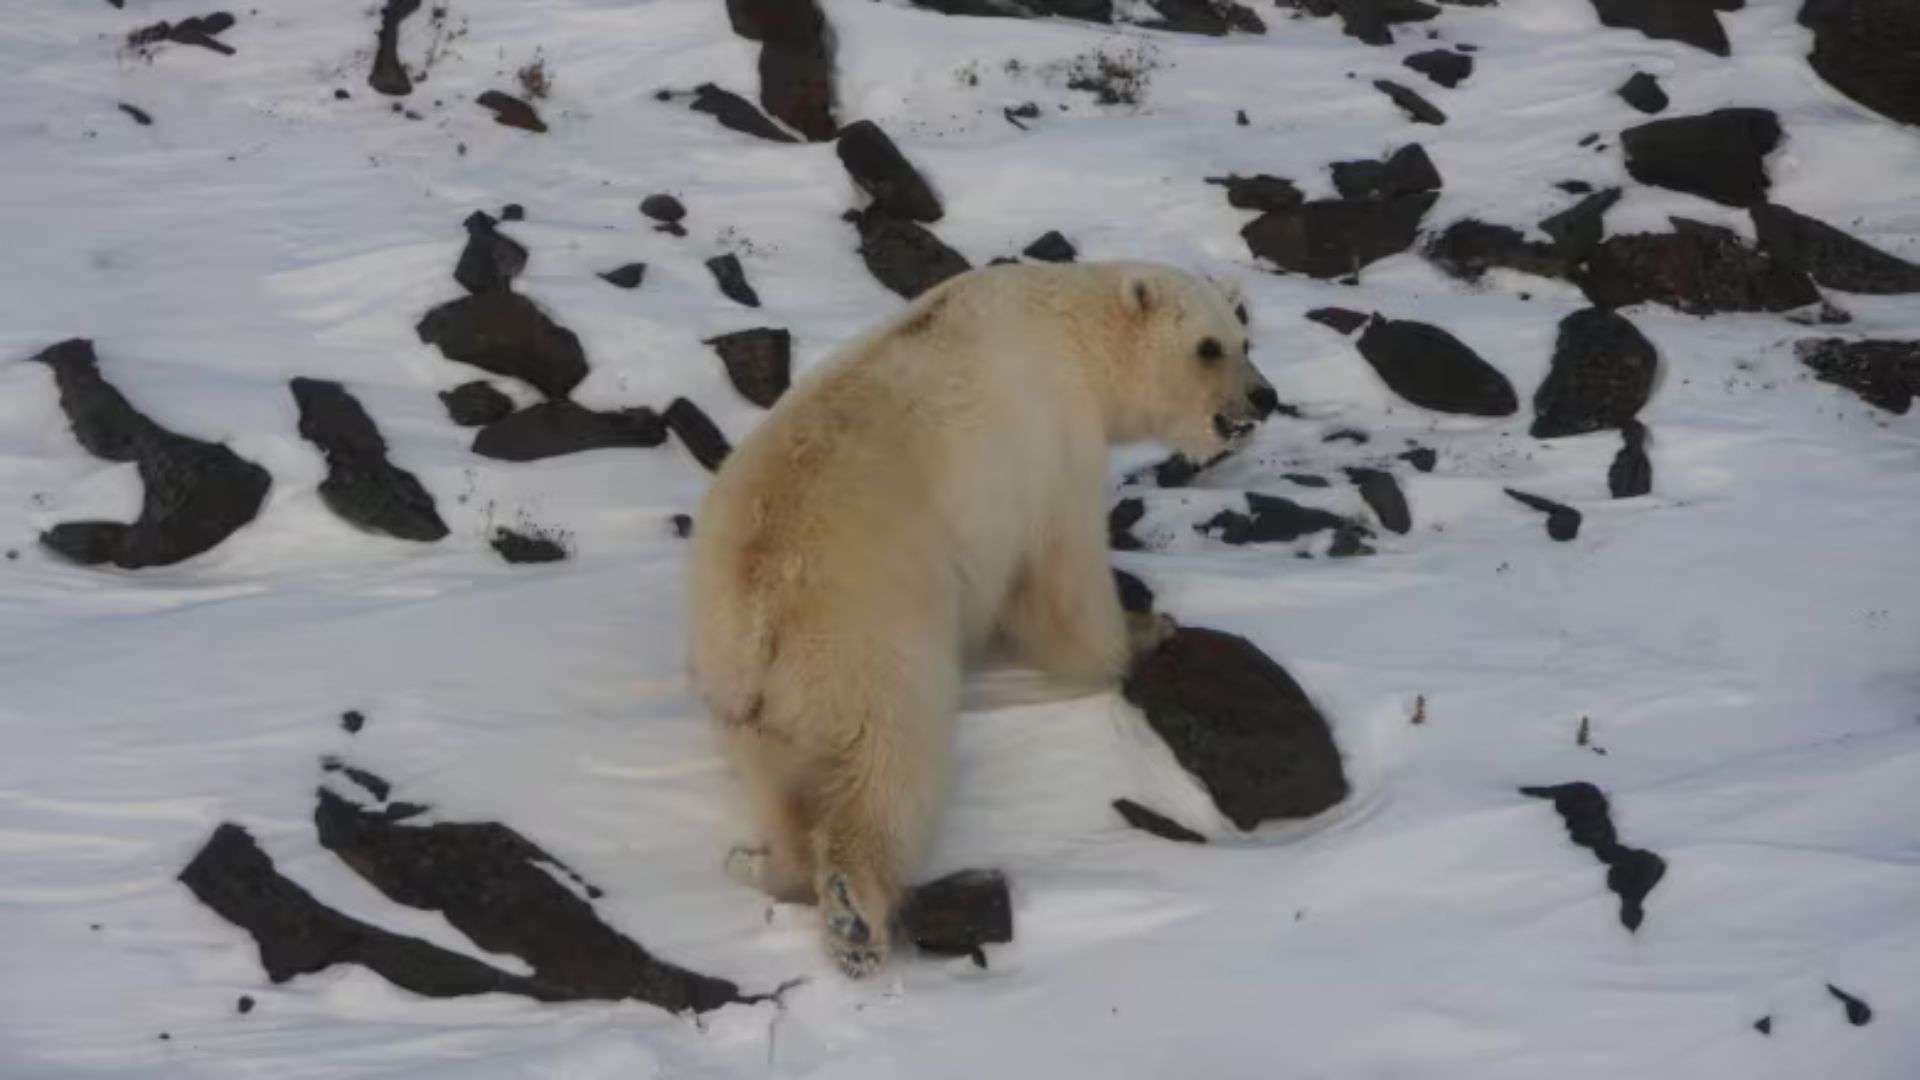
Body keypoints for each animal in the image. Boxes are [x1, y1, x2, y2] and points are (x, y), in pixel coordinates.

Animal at [685, 260, 1278, 977]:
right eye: (1208, 347)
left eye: (1243, 339)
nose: (1264, 398)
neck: (1070, 328)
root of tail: (754, 611)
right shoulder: (1052, 444)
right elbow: (1062, 576)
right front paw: (1144, 629)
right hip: (864, 635)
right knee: (889, 758)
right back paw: (857, 914)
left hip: (751, 697)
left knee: (780, 783)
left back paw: (762, 865)